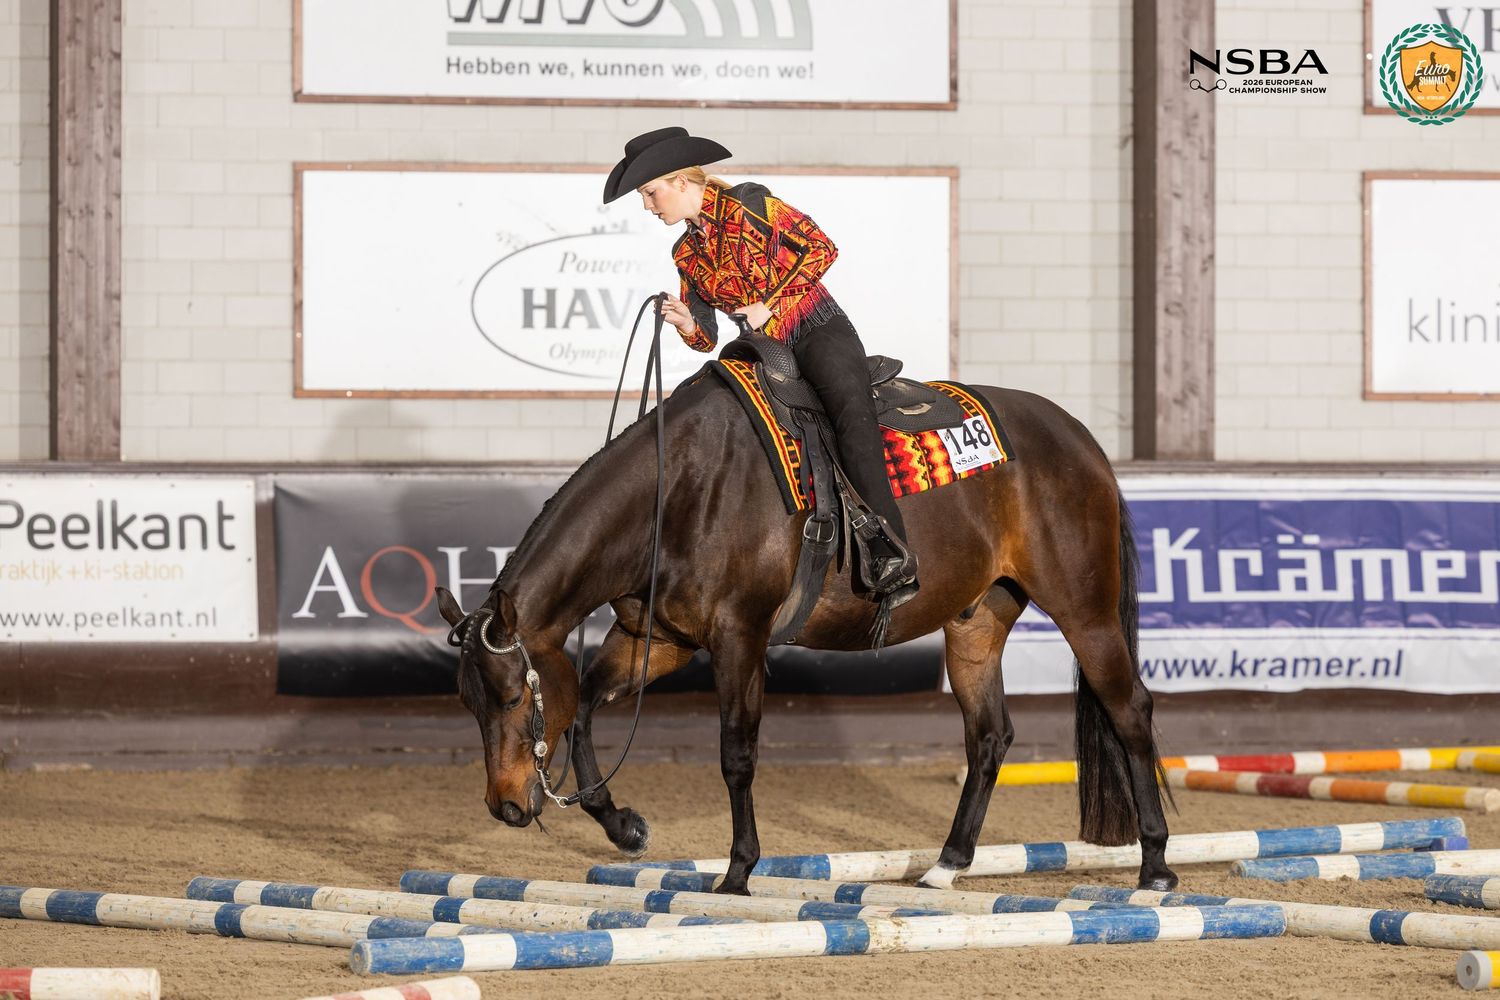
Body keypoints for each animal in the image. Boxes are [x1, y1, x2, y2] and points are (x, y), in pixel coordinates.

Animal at [434, 364, 1178, 894]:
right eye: (468, 704)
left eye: (510, 697)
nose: (504, 806)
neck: (680, 490)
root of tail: (1081, 440)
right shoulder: (659, 639)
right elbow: (585, 708)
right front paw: (624, 828)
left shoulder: (739, 638)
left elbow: (737, 754)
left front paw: (738, 871)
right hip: (977, 620)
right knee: (990, 735)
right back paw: (947, 863)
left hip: (1085, 611)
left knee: (1131, 711)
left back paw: (1156, 865)